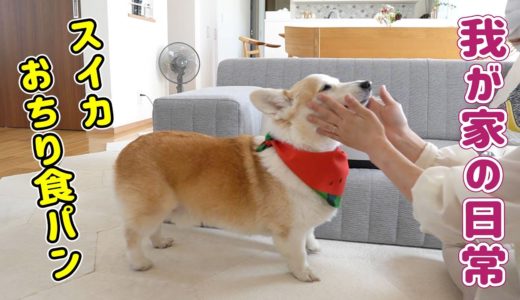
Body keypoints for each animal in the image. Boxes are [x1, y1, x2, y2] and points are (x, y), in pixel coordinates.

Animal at [116, 74, 372, 282]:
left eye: (338, 81)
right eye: (325, 88)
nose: (367, 83)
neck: (305, 152)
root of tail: (128, 147)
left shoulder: (304, 220)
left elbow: (310, 235)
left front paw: (313, 247)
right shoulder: (291, 228)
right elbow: (298, 254)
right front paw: (303, 273)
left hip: (162, 206)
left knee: (153, 229)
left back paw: (159, 243)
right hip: (152, 206)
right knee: (132, 236)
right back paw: (139, 263)